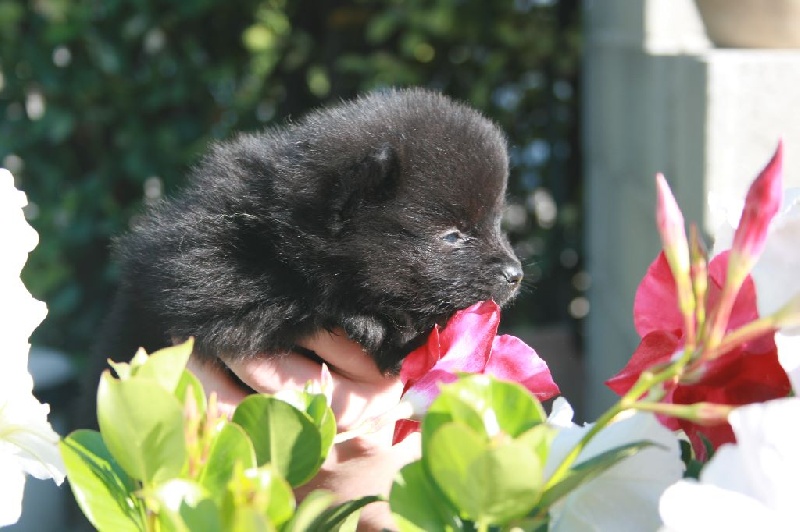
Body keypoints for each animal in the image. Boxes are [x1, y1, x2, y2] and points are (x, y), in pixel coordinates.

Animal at [95, 88, 523, 375]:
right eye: (452, 236)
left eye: (496, 223)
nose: (515, 274)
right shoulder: (202, 271)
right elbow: (281, 297)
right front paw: (371, 322)